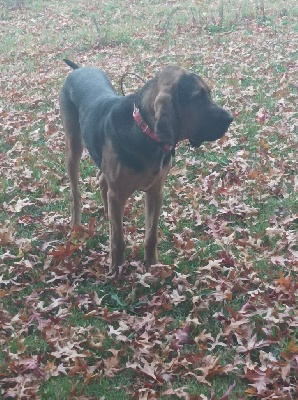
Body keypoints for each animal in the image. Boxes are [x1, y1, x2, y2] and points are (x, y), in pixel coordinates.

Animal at [60, 59, 233, 272]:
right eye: (197, 97)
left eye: (208, 93)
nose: (230, 119)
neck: (145, 133)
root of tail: (78, 69)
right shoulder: (117, 195)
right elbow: (118, 241)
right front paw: (116, 271)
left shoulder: (156, 192)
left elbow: (151, 235)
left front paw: (152, 265)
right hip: (73, 147)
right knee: (75, 193)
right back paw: (76, 226)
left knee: (101, 181)